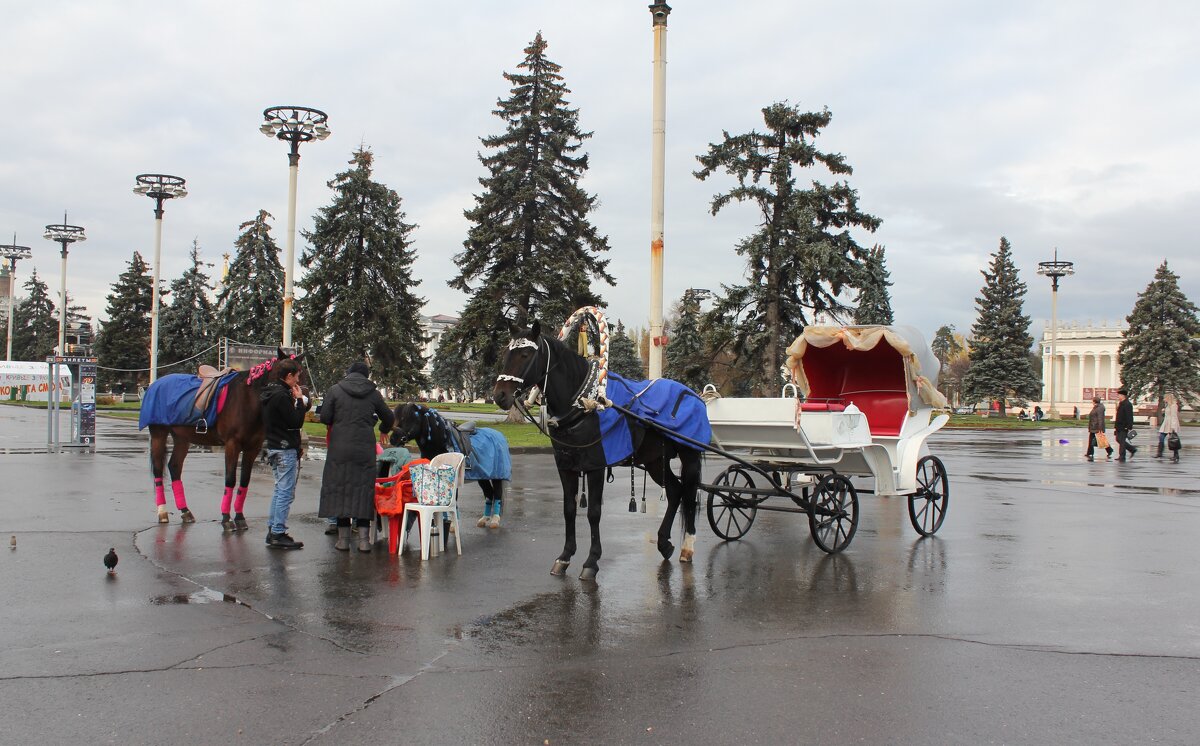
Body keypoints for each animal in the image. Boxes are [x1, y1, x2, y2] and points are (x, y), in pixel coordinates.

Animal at [146, 352, 304, 532]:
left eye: (302, 373)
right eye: (286, 372)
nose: (300, 399)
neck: (247, 400)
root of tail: (156, 384)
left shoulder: (252, 448)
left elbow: (244, 481)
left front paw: (240, 517)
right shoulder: (232, 445)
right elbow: (230, 479)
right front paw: (226, 518)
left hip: (182, 438)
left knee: (174, 466)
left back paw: (185, 511)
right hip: (158, 435)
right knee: (158, 470)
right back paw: (162, 512)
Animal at [391, 402, 508, 532]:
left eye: (409, 418)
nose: (393, 439)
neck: (442, 442)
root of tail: (498, 435)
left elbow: (452, 501)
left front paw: (451, 525)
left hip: (497, 476)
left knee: (497, 493)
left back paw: (494, 520)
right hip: (482, 476)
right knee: (489, 494)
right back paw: (484, 519)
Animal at [492, 323, 705, 582]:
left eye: (525, 354)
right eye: (506, 353)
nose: (499, 395)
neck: (584, 402)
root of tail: (693, 395)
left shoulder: (595, 465)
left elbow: (593, 512)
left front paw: (591, 561)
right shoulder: (565, 466)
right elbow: (569, 509)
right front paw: (565, 556)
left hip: (690, 457)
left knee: (689, 496)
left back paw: (688, 547)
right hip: (656, 461)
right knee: (675, 492)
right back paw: (664, 542)